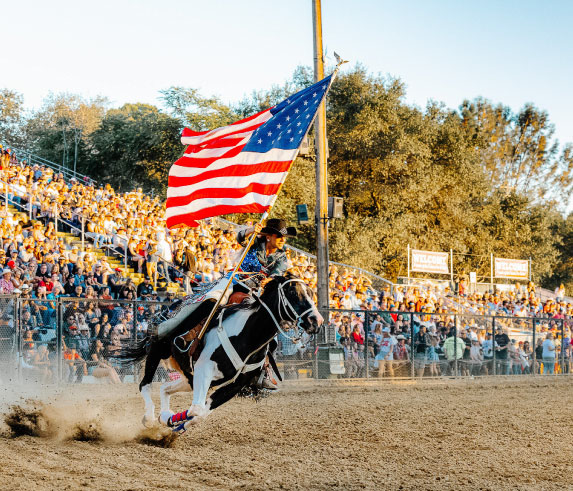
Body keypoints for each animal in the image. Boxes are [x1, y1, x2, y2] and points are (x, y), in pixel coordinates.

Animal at [116, 274, 322, 432]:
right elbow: (196, 410)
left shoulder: (234, 385)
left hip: (189, 377)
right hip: (159, 348)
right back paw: (149, 417)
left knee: (165, 387)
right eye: (293, 293)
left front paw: (169, 422)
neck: (249, 334)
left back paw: (163, 415)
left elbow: (200, 414)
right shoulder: (204, 368)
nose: (316, 321)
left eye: (311, 293)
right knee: (145, 384)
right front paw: (167, 424)